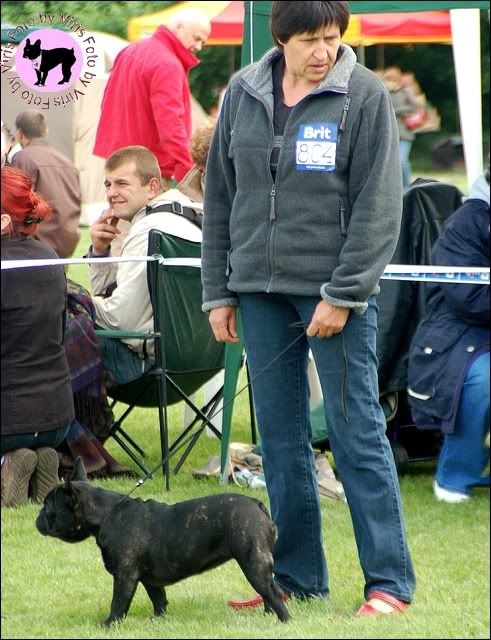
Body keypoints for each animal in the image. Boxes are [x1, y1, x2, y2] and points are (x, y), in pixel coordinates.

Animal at [36, 458, 289, 625]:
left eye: (48, 508)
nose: (37, 518)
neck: (106, 514)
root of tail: (258, 505)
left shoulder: (125, 576)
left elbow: (118, 603)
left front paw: (108, 625)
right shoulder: (150, 579)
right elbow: (158, 599)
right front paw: (158, 621)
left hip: (253, 563)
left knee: (273, 592)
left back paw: (284, 621)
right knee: (267, 593)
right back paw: (268, 617)